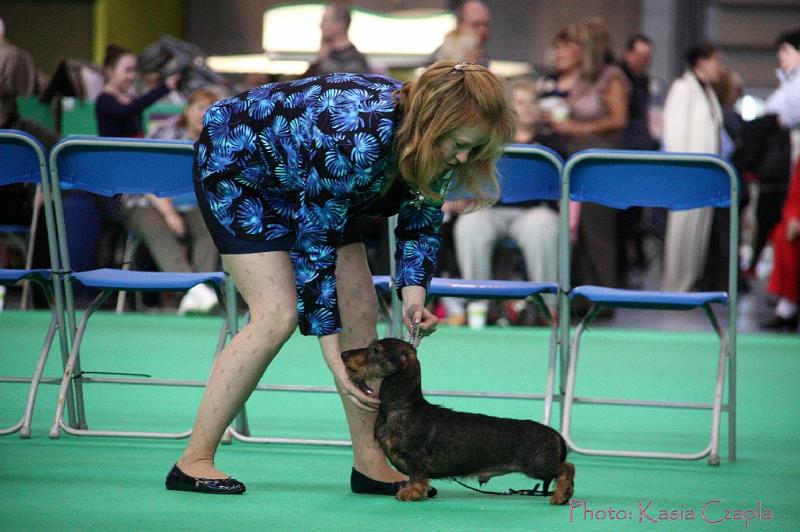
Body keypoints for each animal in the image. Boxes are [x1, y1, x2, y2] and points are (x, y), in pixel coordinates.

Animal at [342, 336, 576, 502]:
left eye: (376, 350)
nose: (343, 353)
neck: (401, 408)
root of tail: (555, 433)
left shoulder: (415, 459)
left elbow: (417, 477)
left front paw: (412, 493)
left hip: (539, 466)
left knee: (567, 467)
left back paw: (560, 496)